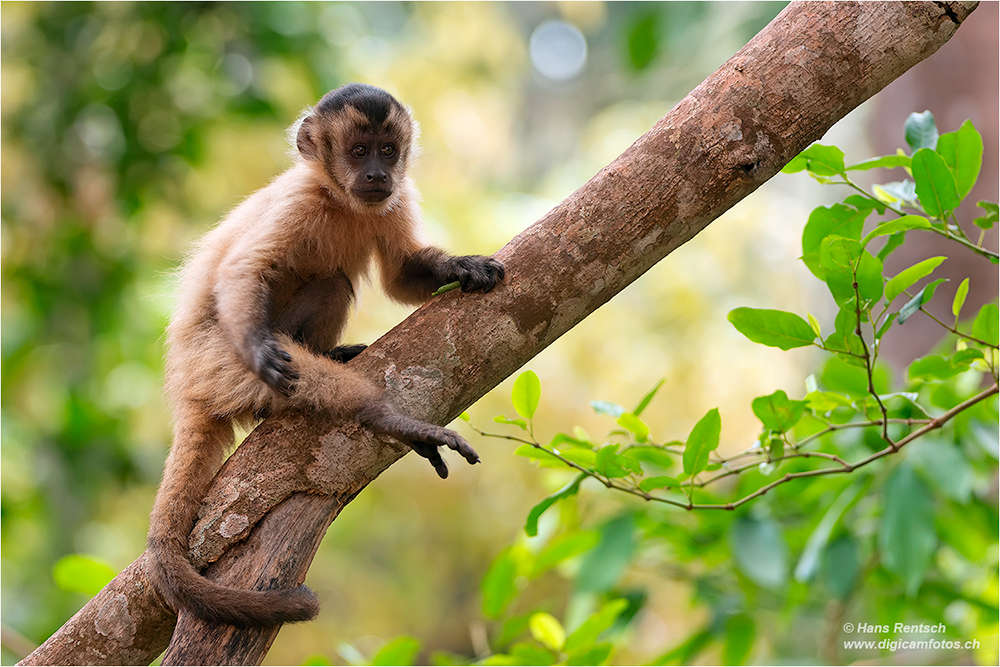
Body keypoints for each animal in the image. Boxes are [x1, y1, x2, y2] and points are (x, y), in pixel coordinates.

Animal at [146, 83, 500, 628]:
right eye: (358, 152)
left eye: (387, 151)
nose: (376, 174)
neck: (338, 200)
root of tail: (183, 385)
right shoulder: (298, 201)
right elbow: (242, 271)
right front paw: (261, 349)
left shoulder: (394, 200)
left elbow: (402, 277)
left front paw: (464, 267)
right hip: (215, 361)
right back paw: (389, 420)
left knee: (333, 282)